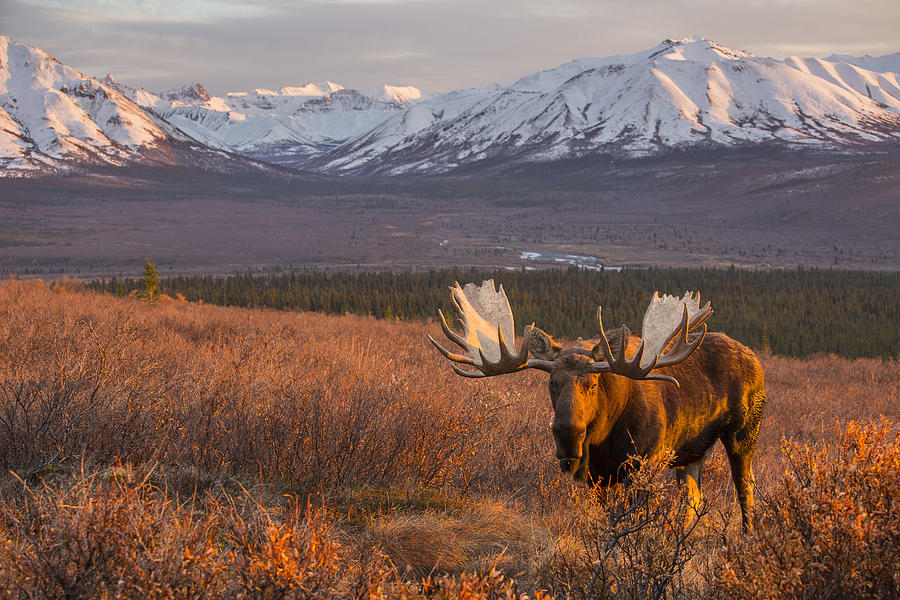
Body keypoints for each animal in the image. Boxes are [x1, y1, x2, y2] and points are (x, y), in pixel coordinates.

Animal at [428, 278, 768, 528]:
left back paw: (747, 538)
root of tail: (755, 358)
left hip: (743, 433)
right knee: (693, 500)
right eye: (552, 383)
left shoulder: (642, 465)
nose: (567, 433)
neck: (603, 437)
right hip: (691, 452)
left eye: (592, 384)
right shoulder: (596, 478)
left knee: (746, 488)